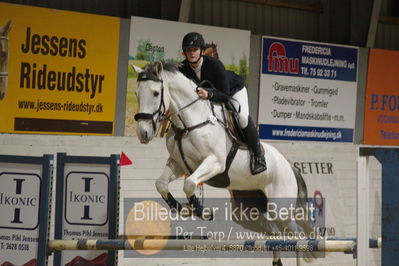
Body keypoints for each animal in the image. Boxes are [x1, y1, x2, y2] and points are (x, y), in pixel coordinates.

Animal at [134, 61, 316, 266]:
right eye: (137, 93)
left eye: (156, 93)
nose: (143, 133)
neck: (189, 123)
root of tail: (290, 167)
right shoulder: (178, 164)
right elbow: (161, 184)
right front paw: (183, 209)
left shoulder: (215, 163)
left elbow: (189, 184)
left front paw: (201, 211)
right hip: (247, 213)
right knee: (275, 233)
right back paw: (277, 262)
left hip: (280, 208)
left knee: (297, 235)